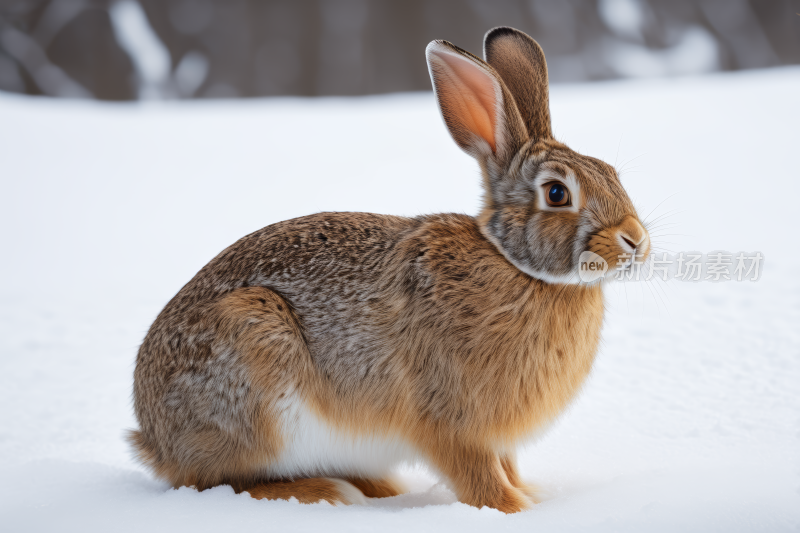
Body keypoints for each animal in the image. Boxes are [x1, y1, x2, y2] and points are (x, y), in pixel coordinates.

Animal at [131, 26, 648, 512]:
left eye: (611, 173)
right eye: (557, 193)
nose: (637, 241)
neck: (516, 265)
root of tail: (153, 439)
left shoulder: (495, 439)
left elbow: (506, 465)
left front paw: (529, 494)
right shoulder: (451, 421)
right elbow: (477, 476)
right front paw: (514, 508)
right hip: (254, 360)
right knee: (220, 481)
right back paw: (328, 491)